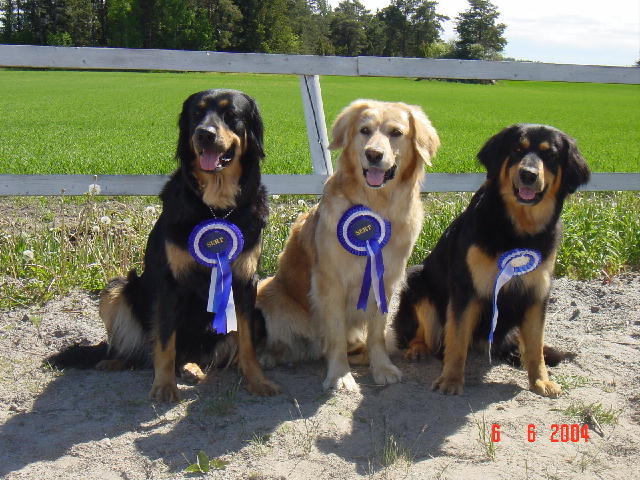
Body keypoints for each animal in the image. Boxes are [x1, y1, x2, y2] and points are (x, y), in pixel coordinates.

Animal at [48, 88, 278, 400]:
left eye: (231, 114)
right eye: (197, 113)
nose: (204, 134)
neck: (215, 209)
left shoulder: (244, 281)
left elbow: (246, 343)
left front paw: (256, 380)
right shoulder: (169, 283)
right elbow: (165, 341)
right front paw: (164, 386)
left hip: (256, 316)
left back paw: (194, 367)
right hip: (118, 288)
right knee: (142, 349)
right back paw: (116, 361)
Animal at [255, 98, 440, 390]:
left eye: (396, 133)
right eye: (364, 130)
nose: (373, 154)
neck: (376, 206)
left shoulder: (385, 280)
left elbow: (377, 333)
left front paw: (382, 367)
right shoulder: (330, 282)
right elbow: (336, 336)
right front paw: (340, 375)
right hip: (268, 292)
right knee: (284, 343)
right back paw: (270, 357)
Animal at [396, 124, 592, 398]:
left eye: (550, 155)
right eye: (517, 150)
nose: (528, 175)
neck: (518, 230)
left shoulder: (537, 293)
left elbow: (535, 346)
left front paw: (540, 381)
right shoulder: (466, 290)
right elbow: (457, 340)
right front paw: (451, 380)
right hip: (418, 281)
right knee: (423, 333)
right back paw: (418, 348)